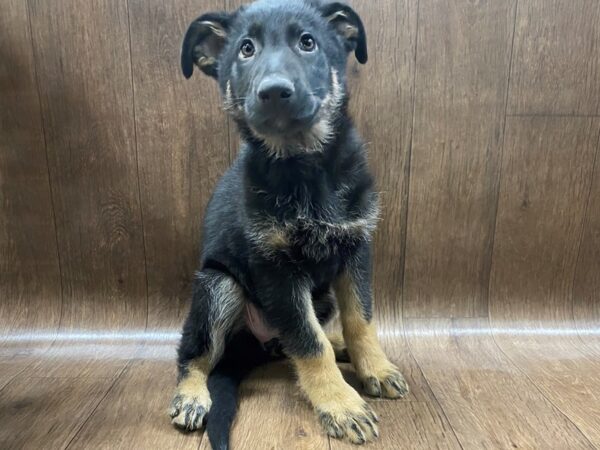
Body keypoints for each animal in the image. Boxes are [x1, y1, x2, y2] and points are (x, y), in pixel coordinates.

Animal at [171, 1, 410, 448]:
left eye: (308, 42)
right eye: (246, 49)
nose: (274, 92)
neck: (305, 165)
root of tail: (252, 348)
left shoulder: (356, 249)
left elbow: (361, 319)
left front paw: (374, 367)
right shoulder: (277, 271)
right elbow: (308, 343)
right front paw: (341, 404)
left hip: (321, 295)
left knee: (300, 336)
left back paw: (340, 345)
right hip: (218, 286)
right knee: (196, 354)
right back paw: (191, 395)